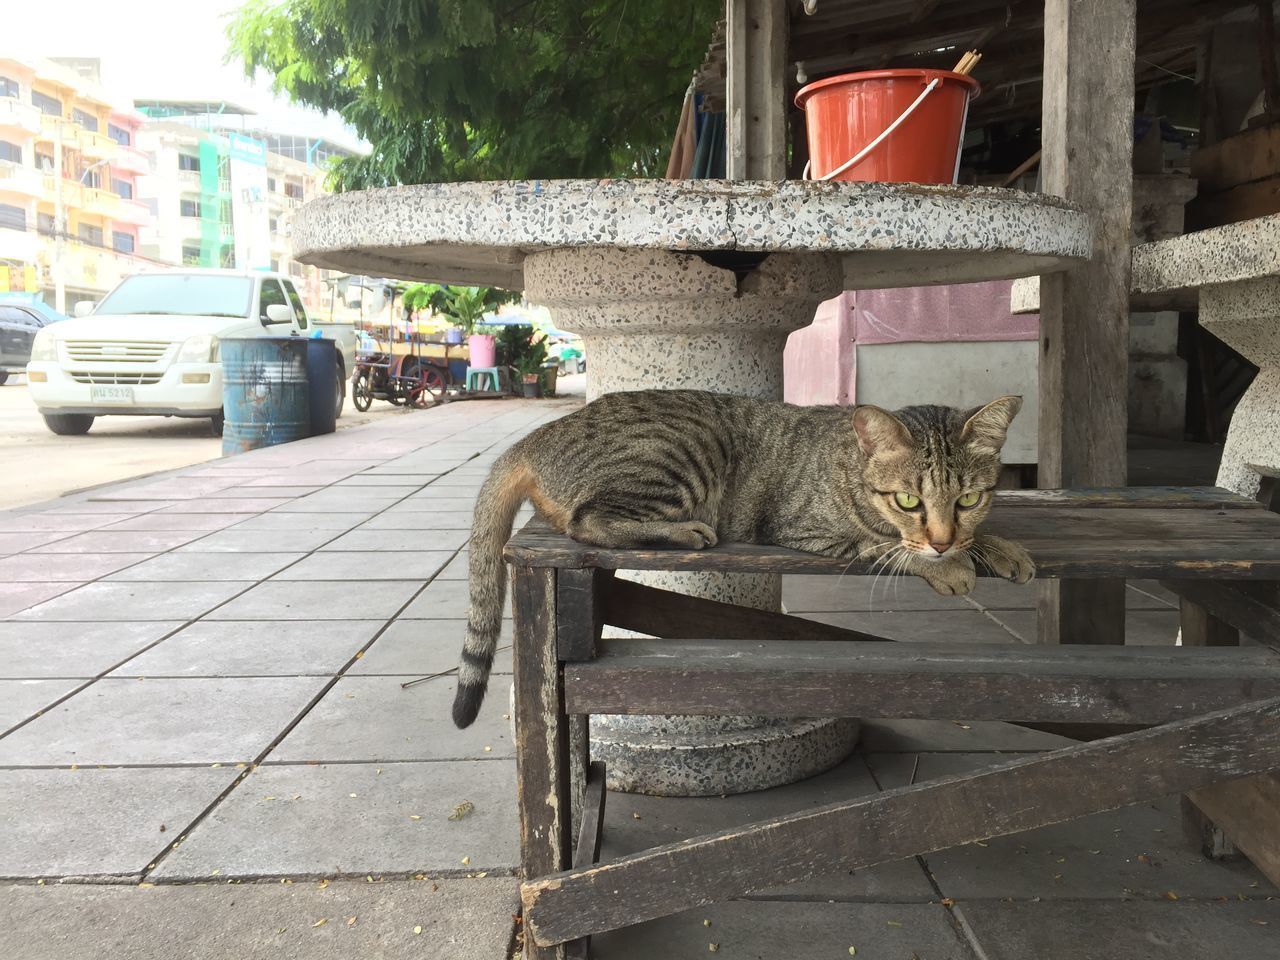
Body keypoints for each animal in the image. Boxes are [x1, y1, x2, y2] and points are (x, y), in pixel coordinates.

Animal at [450, 391, 1029, 727]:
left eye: (968, 499)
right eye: (908, 500)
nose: (943, 540)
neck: (848, 465)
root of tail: (538, 437)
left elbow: (973, 534)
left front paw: (999, 547)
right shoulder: (805, 530)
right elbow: (887, 546)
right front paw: (946, 565)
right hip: (682, 451)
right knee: (586, 521)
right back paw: (686, 531)